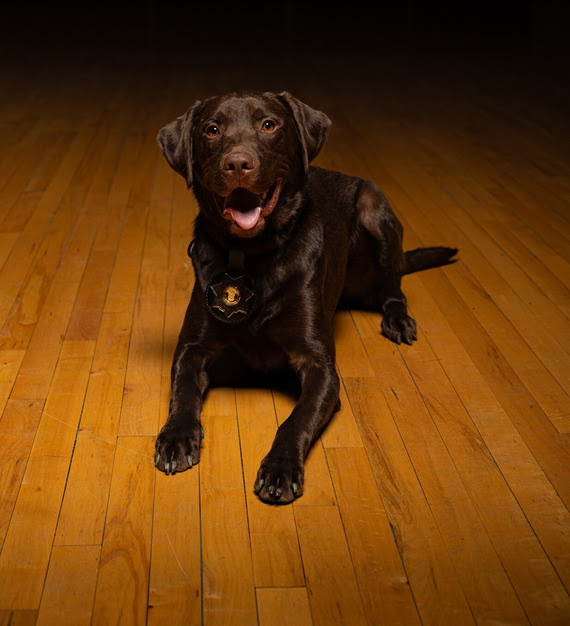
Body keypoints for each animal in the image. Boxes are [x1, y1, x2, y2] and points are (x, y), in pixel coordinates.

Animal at [153, 91, 454, 502]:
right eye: (211, 129)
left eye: (269, 124)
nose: (238, 164)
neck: (250, 256)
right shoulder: (192, 348)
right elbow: (183, 391)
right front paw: (177, 437)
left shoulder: (320, 367)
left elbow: (296, 420)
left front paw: (280, 468)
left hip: (374, 207)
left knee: (393, 287)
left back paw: (397, 318)